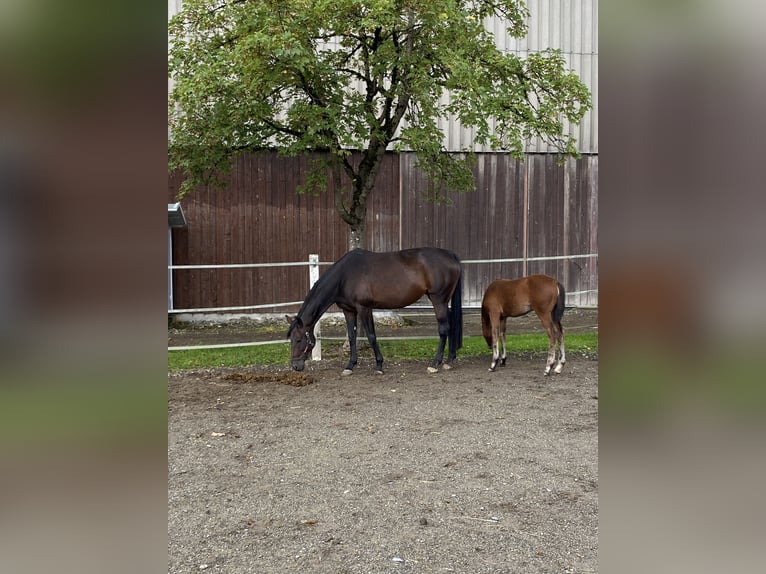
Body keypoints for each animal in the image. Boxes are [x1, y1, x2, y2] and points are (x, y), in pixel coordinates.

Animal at [286, 247, 463, 375]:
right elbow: (352, 337)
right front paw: (350, 366)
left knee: (443, 329)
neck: (345, 276)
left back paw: (435, 363)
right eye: (291, 339)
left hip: (438, 300)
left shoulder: (364, 308)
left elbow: (371, 336)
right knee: (451, 325)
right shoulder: (349, 311)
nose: (295, 366)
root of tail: (450, 255)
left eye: (299, 340)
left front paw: (379, 365)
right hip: (444, 301)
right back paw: (449, 360)